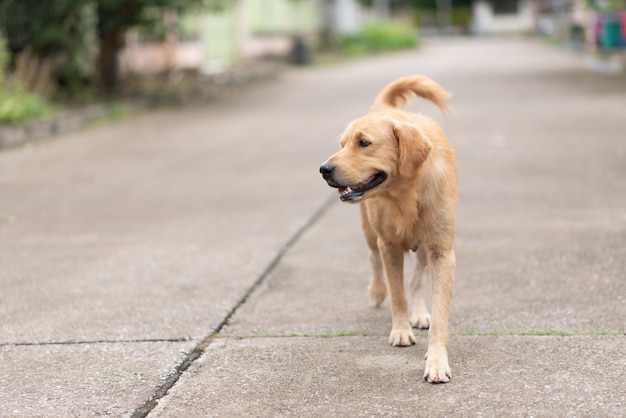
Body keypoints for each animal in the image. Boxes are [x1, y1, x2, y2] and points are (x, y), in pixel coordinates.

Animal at [320, 75, 456, 382]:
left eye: (364, 143)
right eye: (343, 144)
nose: (323, 169)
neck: (405, 194)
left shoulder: (441, 251)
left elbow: (438, 310)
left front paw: (437, 360)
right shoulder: (389, 246)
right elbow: (397, 294)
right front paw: (401, 330)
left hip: (423, 247)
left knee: (418, 280)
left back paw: (419, 312)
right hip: (370, 232)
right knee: (374, 260)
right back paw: (377, 292)